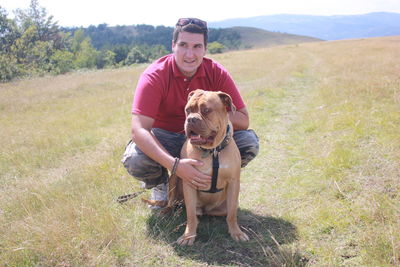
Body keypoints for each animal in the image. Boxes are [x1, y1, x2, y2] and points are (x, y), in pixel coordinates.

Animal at [168, 89, 250, 247]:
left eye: (206, 110)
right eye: (188, 110)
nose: (191, 119)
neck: (213, 151)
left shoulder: (233, 182)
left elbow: (232, 214)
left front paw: (236, 233)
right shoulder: (189, 182)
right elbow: (190, 215)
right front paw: (188, 235)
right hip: (173, 180)